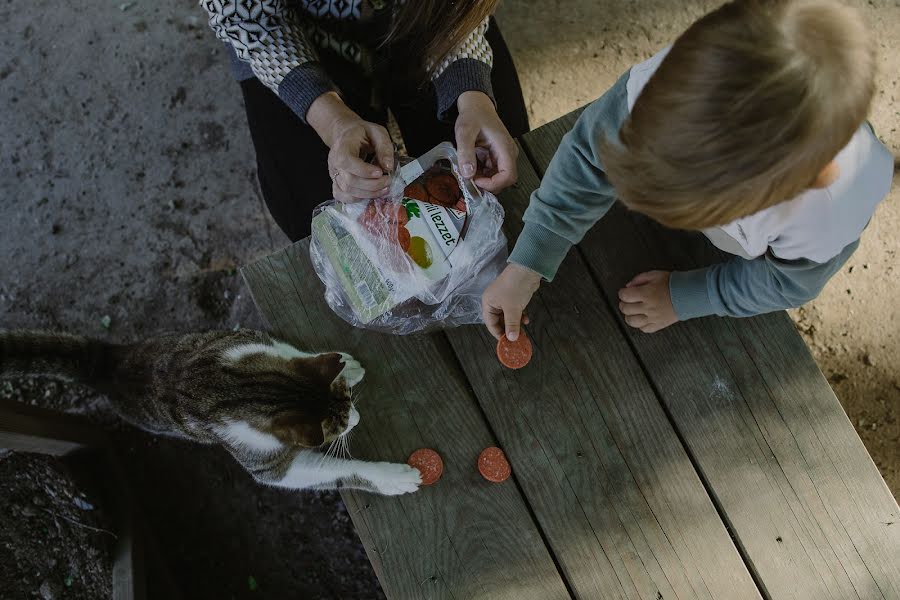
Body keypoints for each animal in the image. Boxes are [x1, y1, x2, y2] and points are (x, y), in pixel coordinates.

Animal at [0, 330, 422, 494]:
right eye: (338, 428)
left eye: (348, 399)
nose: (357, 419)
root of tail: (105, 365)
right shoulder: (267, 465)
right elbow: (332, 471)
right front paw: (394, 477)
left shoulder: (248, 338)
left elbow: (292, 352)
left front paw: (345, 366)